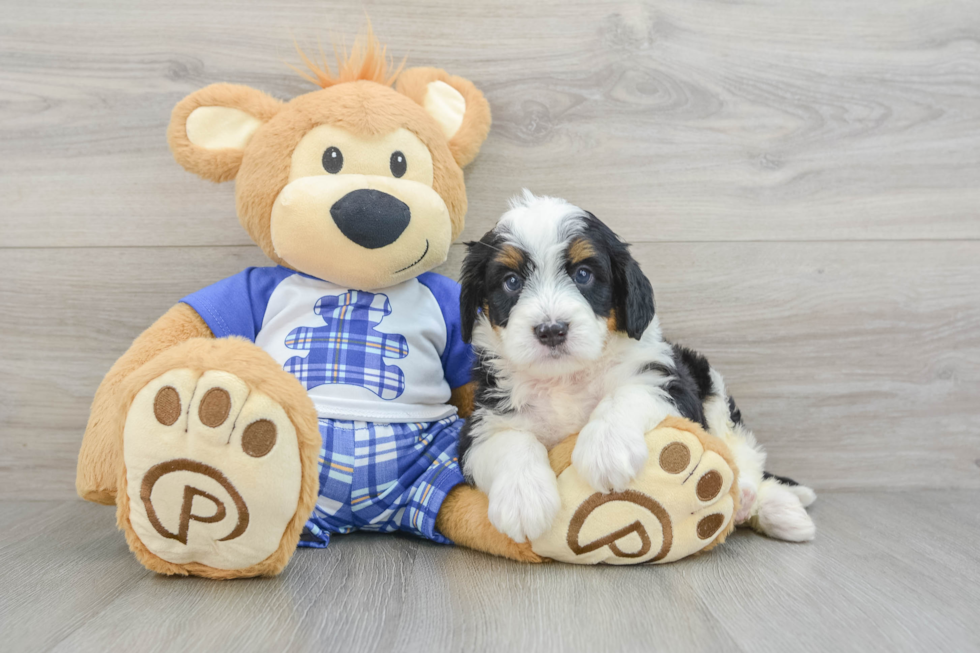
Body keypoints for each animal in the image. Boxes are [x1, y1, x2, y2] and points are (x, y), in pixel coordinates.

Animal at [456, 191, 816, 544]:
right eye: (511, 281)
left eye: (583, 274)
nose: (552, 330)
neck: (566, 378)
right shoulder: (481, 422)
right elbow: (509, 441)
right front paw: (523, 499)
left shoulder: (671, 384)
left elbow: (628, 391)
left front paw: (606, 449)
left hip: (709, 384)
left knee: (743, 451)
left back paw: (772, 505)